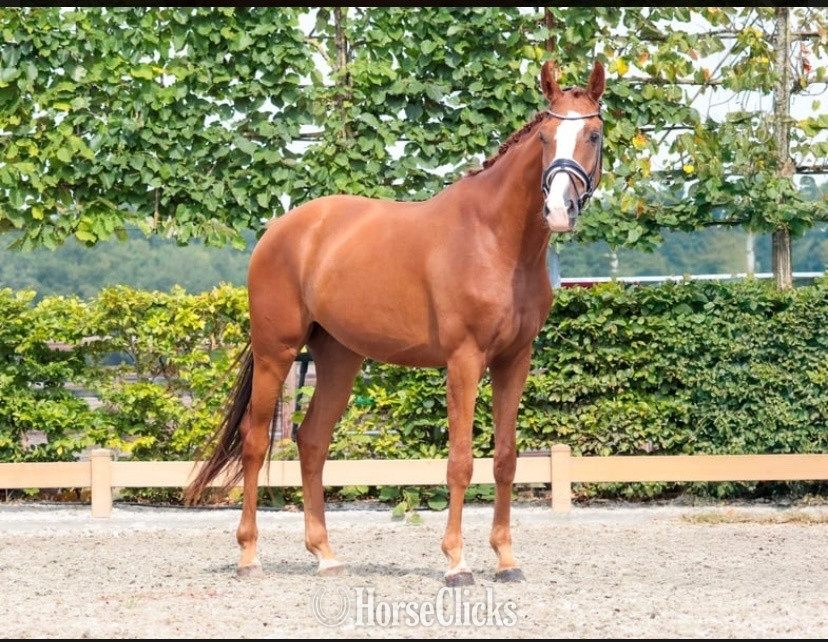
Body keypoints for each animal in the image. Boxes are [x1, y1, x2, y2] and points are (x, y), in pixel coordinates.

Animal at [185, 59, 605, 586]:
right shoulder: (464, 360)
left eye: (593, 134)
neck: (495, 239)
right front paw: (456, 563)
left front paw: (507, 561)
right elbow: (460, 461)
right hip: (275, 352)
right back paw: (249, 555)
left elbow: (506, 459)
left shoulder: (515, 360)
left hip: (339, 359)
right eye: (547, 136)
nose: (558, 210)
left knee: (311, 441)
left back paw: (325, 554)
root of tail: (281, 230)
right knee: (257, 441)